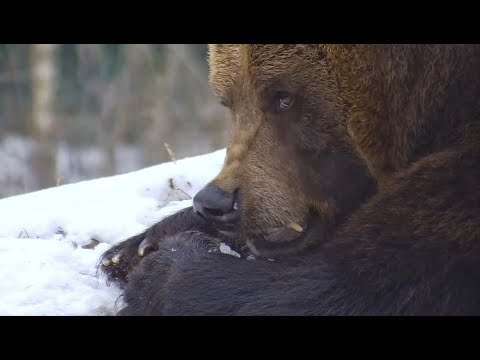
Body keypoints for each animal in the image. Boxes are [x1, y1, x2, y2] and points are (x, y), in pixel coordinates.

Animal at [99, 45, 480, 316]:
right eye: (228, 101)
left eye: (283, 97)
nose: (217, 204)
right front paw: (133, 248)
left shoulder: (455, 195)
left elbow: (347, 283)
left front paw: (163, 266)